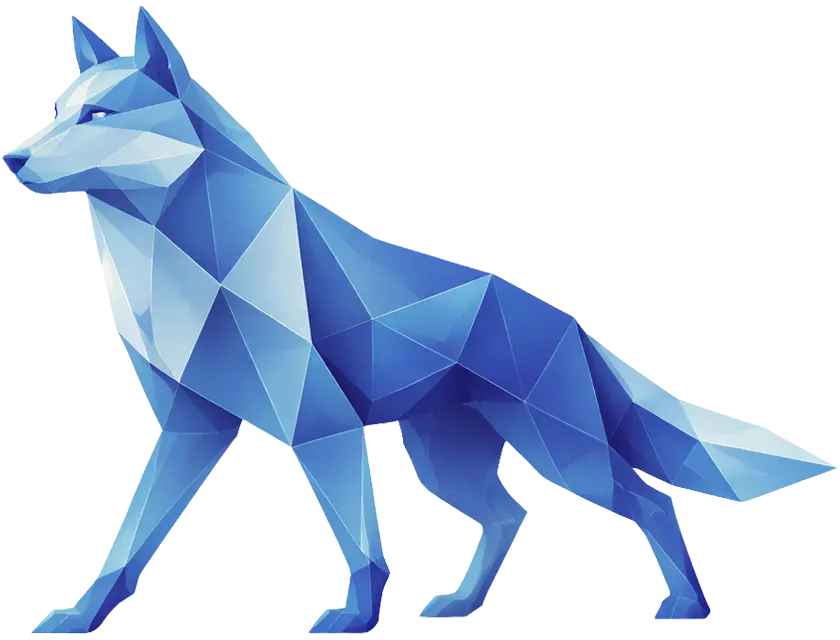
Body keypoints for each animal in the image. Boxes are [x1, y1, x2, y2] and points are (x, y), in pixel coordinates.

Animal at [4, 6, 835, 635]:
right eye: (53, 112)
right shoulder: (191, 428)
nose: (13, 160)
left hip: (564, 458)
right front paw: (76, 619)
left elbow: (363, 546)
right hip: (442, 462)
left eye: (99, 115)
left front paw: (353, 621)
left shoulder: (322, 428)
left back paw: (689, 609)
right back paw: (463, 607)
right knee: (508, 517)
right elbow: (125, 549)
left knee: (653, 503)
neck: (186, 264)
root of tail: (566, 320)